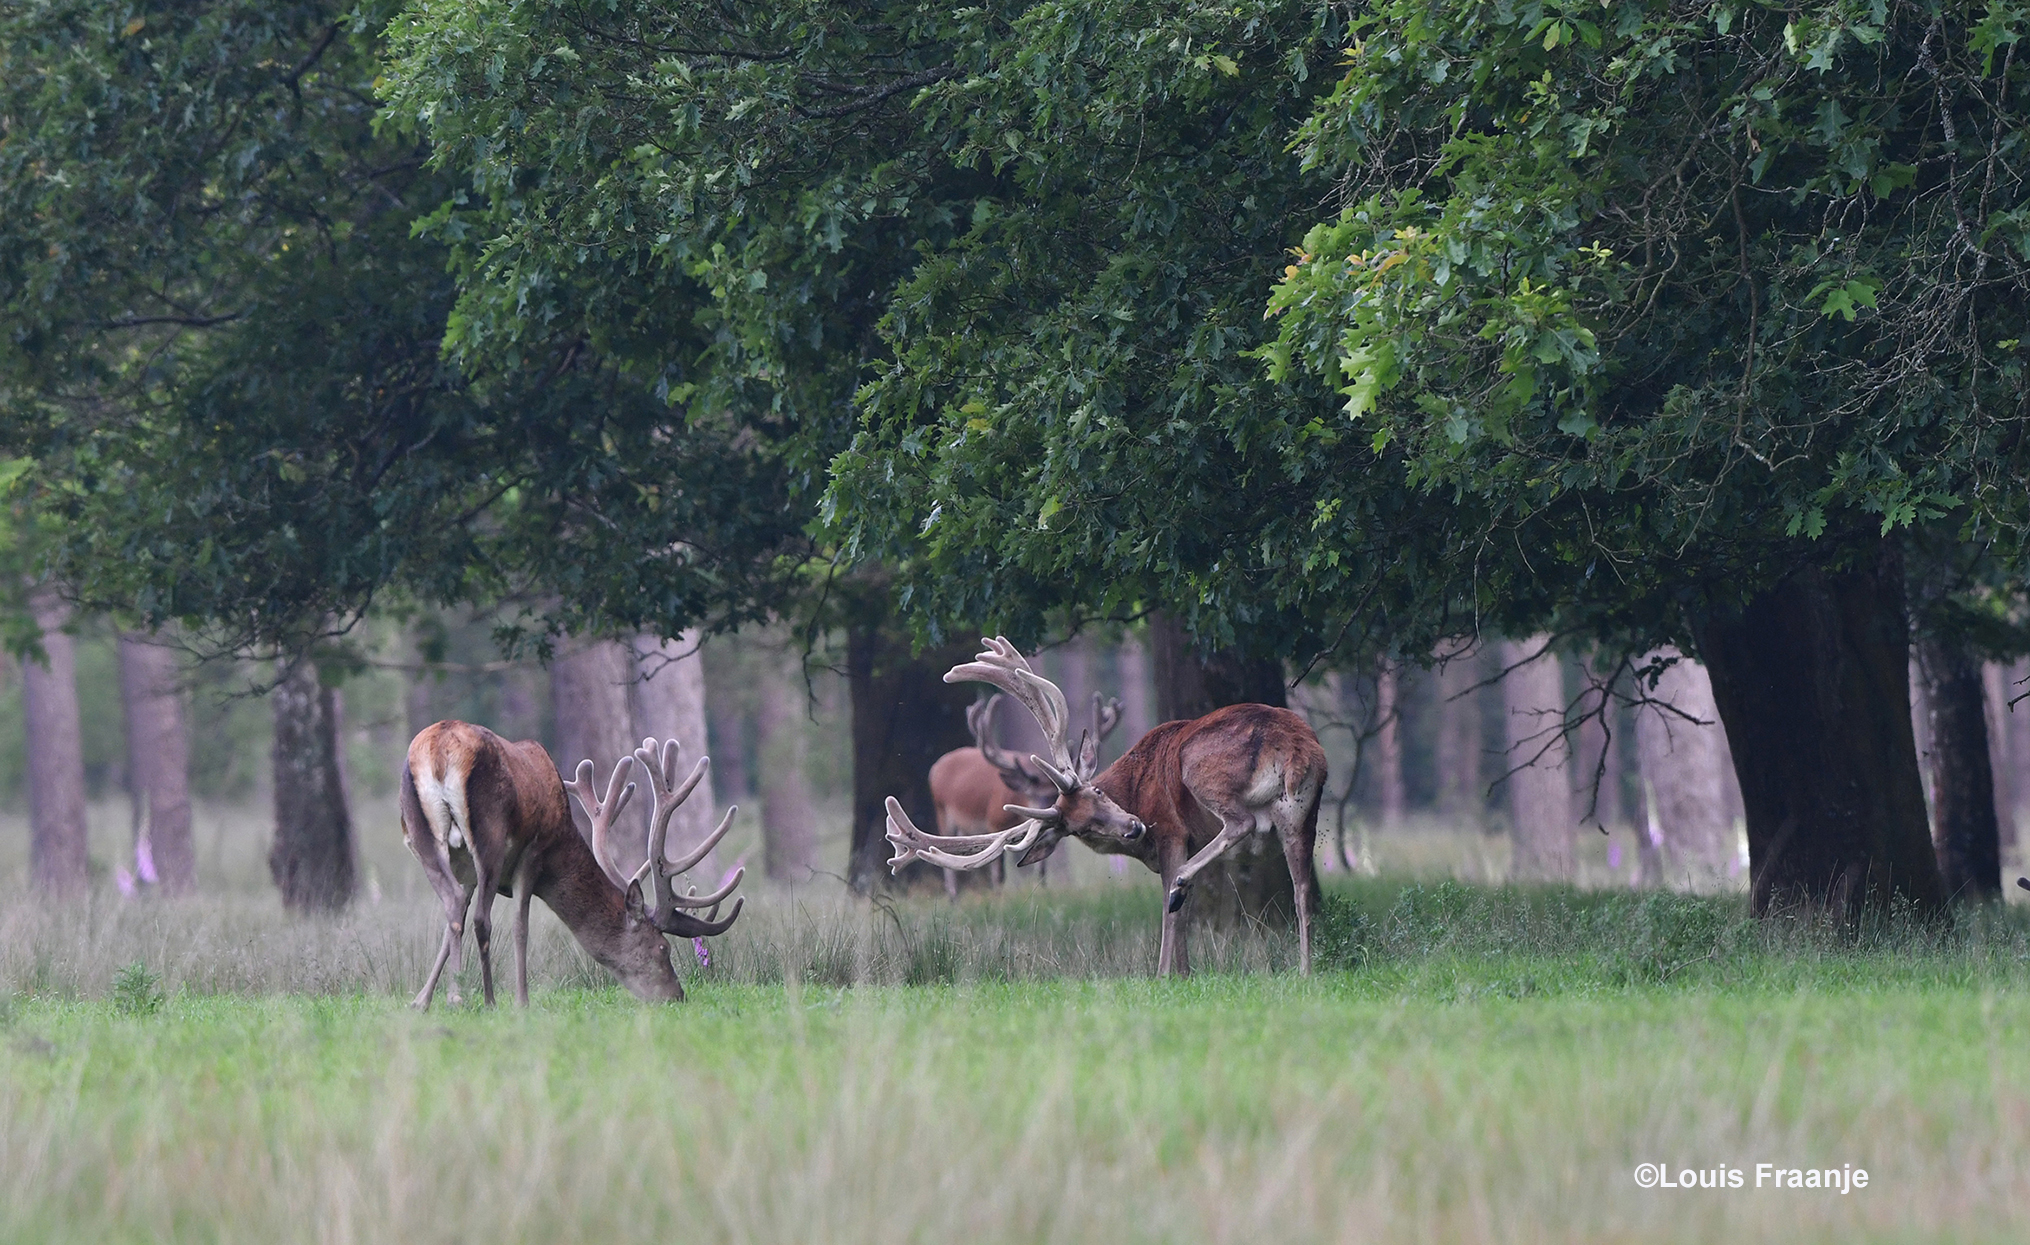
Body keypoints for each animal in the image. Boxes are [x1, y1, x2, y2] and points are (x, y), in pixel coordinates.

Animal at [397, 723, 747, 1003]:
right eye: (663, 948)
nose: (677, 996)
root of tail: (440, 750)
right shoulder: (533, 853)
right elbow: (520, 927)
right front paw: (522, 1002)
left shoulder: (467, 869)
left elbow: (449, 927)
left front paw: (421, 1001)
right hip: (490, 834)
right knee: (482, 919)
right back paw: (489, 1000)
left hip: (420, 834)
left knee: (454, 904)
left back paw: (455, 997)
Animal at [925, 690, 1128, 893]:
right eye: (1031, 794)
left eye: (1054, 796)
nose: (1044, 811)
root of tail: (936, 766)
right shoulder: (994, 822)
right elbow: (999, 874)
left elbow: (1040, 868)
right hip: (942, 813)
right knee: (950, 870)